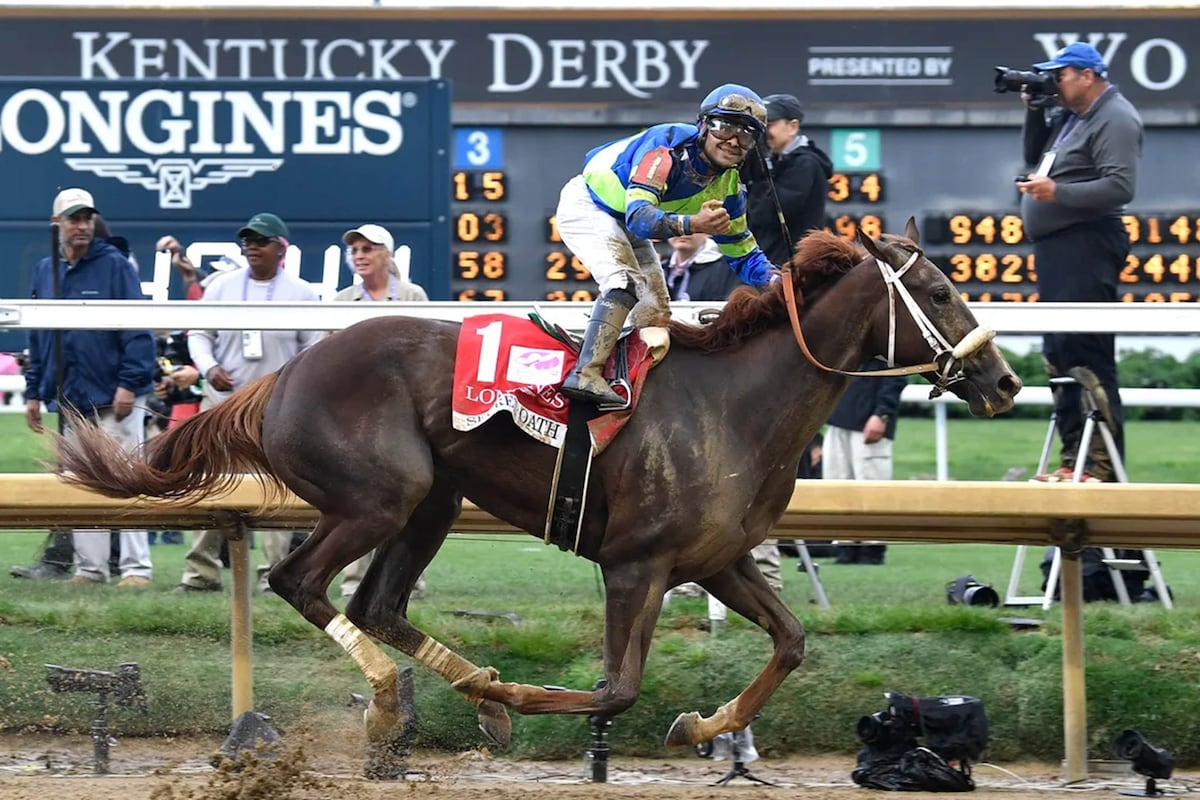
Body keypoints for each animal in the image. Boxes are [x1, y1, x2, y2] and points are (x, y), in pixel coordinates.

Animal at [54, 221, 1012, 753]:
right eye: (937, 290)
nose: (1002, 381)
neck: (734, 403)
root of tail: (280, 375)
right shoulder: (636, 565)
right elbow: (617, 689)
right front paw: (519, 697)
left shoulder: (717, 559)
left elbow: (792, 642)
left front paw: (703, 726)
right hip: (380, 496)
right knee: (299, 581)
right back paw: (398, 700)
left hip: (434, 499)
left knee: (375, 605)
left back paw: (462, 692)